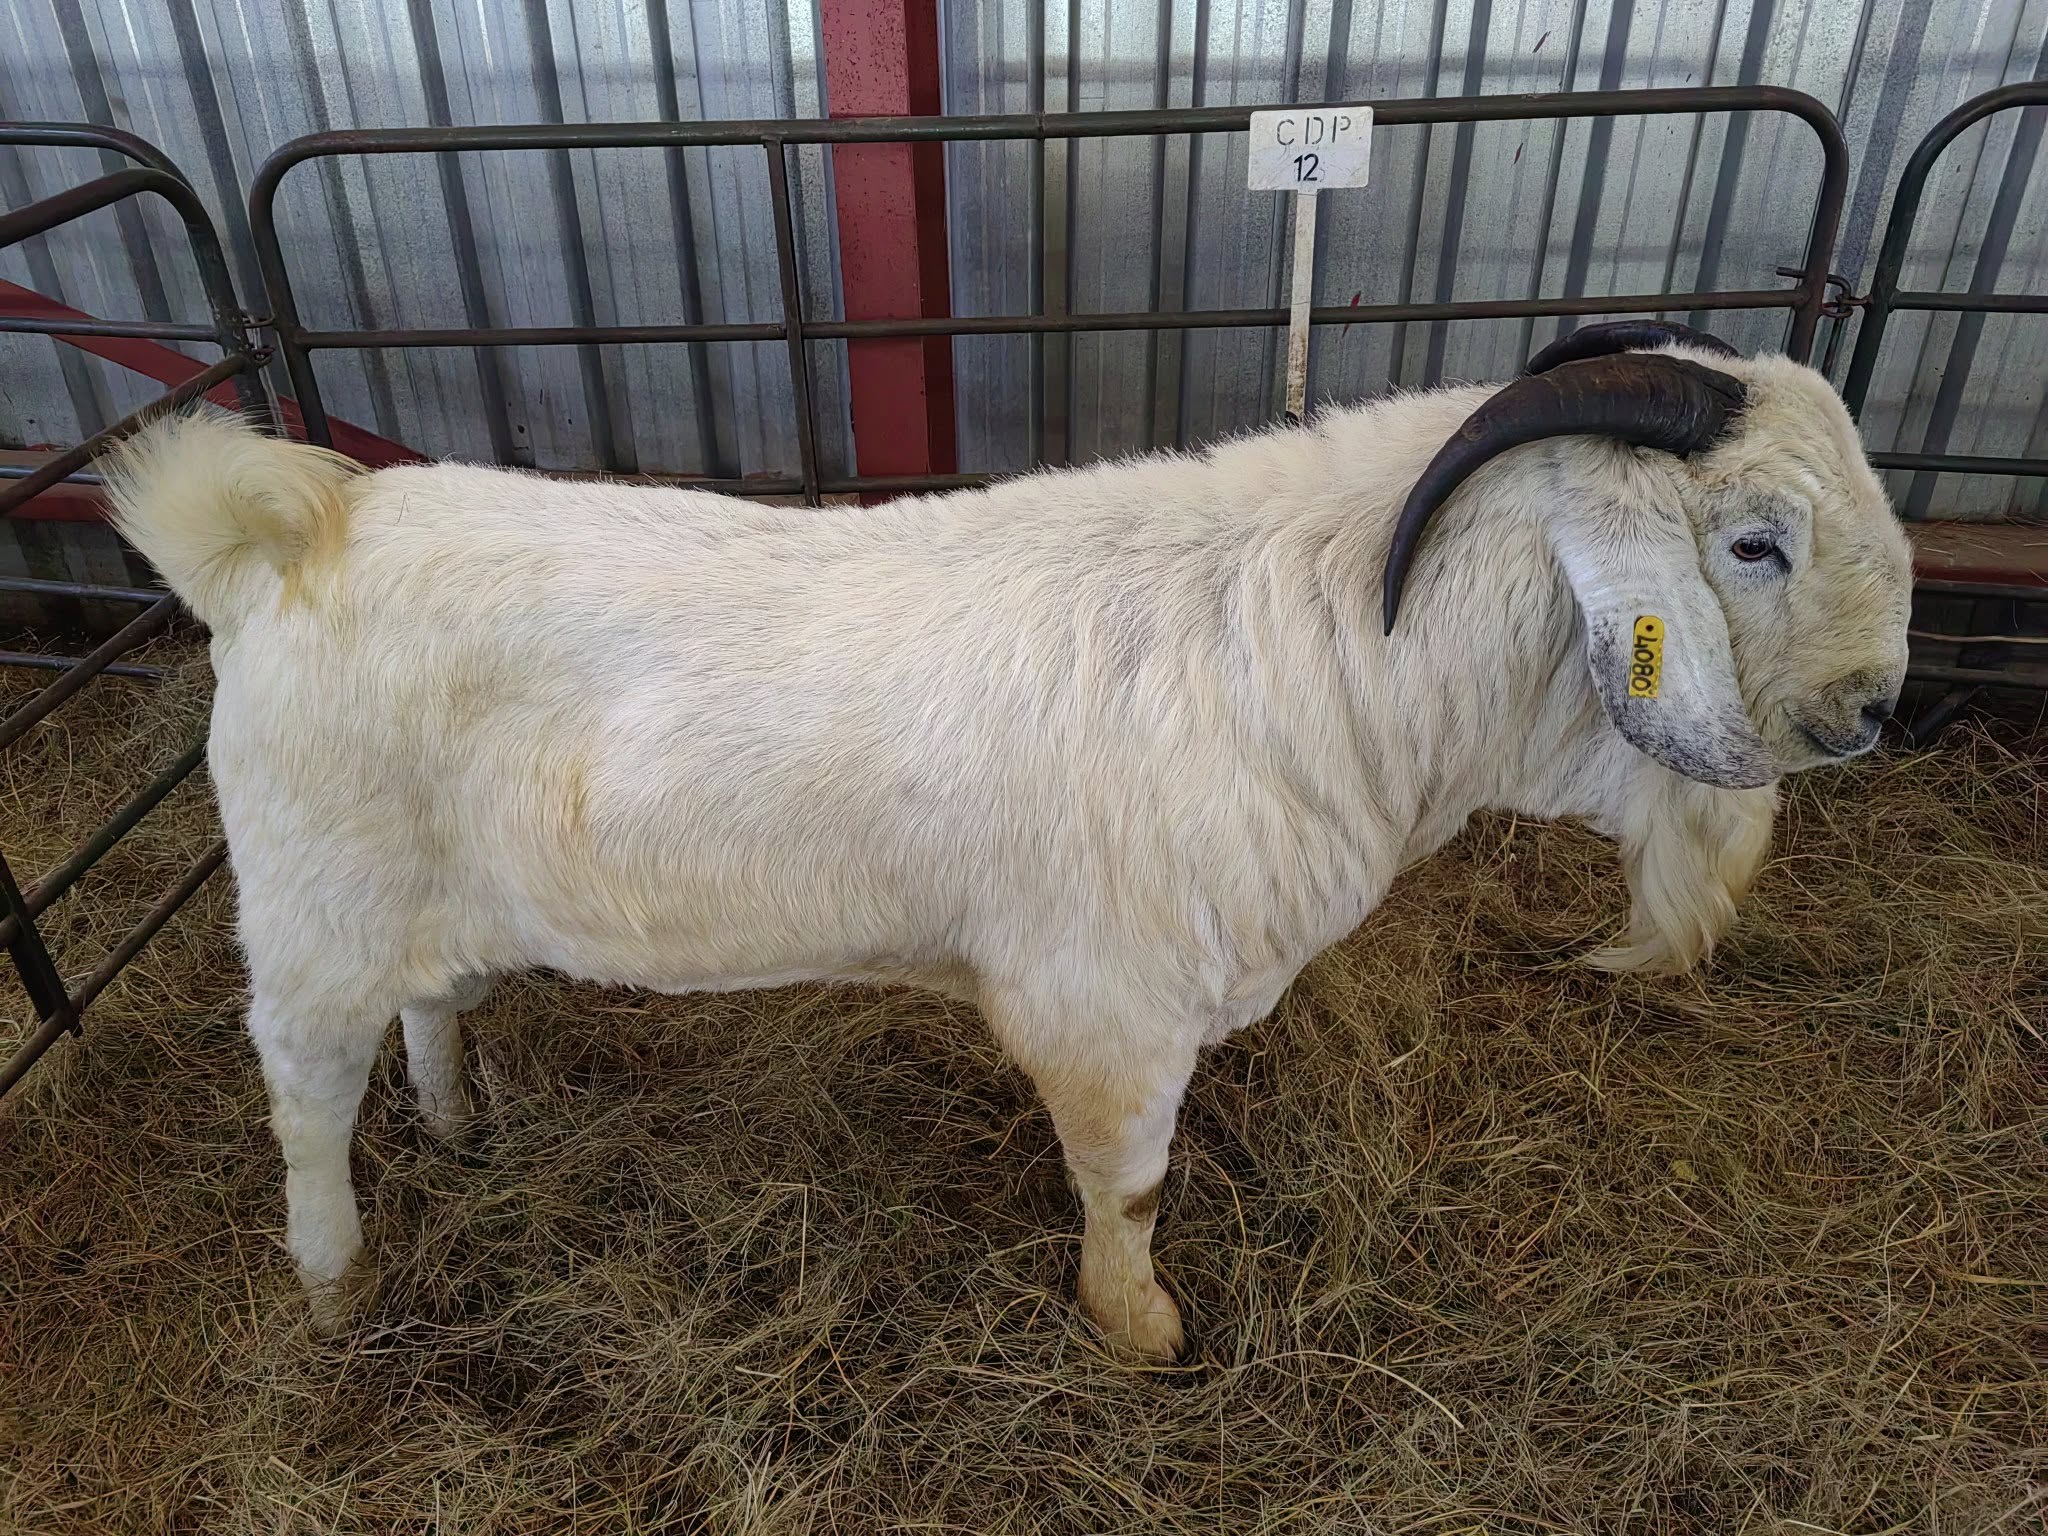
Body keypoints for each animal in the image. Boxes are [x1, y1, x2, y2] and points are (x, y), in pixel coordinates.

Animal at [105, 321, 1911, 1359]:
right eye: (1753, 542)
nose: (1873, 709)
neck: (1311, 645)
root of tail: (290, 537)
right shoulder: (1107, 1009)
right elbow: (1129, 1187)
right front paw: (1141, 1331)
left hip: (416, 904)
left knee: (429, 1003)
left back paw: (459, 1120)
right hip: (308, 915)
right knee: (304, 1103)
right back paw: (336, 1286)